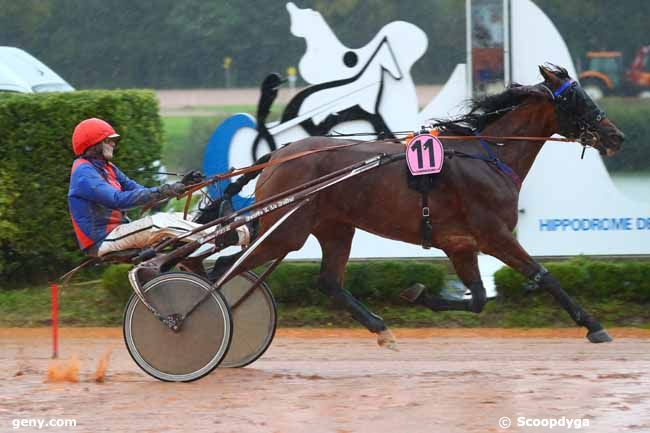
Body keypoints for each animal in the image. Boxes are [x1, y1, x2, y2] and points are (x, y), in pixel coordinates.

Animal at [202, 64, 624, 348]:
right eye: (579, 98)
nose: (616, 136)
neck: (489, 155)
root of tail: (279, 153)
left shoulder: (460, 244)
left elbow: (478, 299)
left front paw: (419, 294)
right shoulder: (494, 235)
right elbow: (544, 276)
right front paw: (593, 325)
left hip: (334, 227)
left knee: (329, 283)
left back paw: (381, 329)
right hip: (286, 231)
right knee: (224, 268)